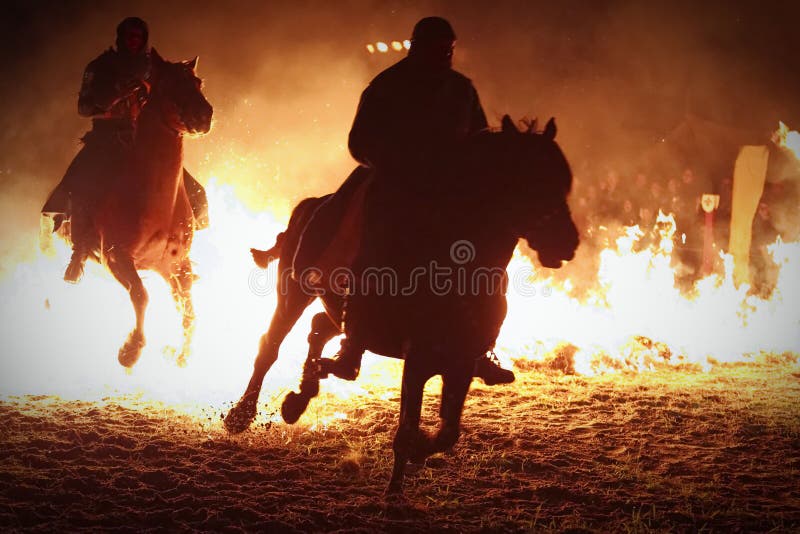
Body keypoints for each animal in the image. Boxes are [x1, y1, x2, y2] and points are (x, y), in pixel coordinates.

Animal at [225, 116, 580, 494]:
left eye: (562, 182)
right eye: (526, 180)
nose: (567, 243)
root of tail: (313, 205)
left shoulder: (460, 363)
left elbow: (447, 433)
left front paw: (419, 455)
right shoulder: (418, 360)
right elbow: (407, 429)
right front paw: (395, 487)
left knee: (321, 327)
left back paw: (301, 395)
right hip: (293, 292)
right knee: (271, 346)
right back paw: (241, 415)